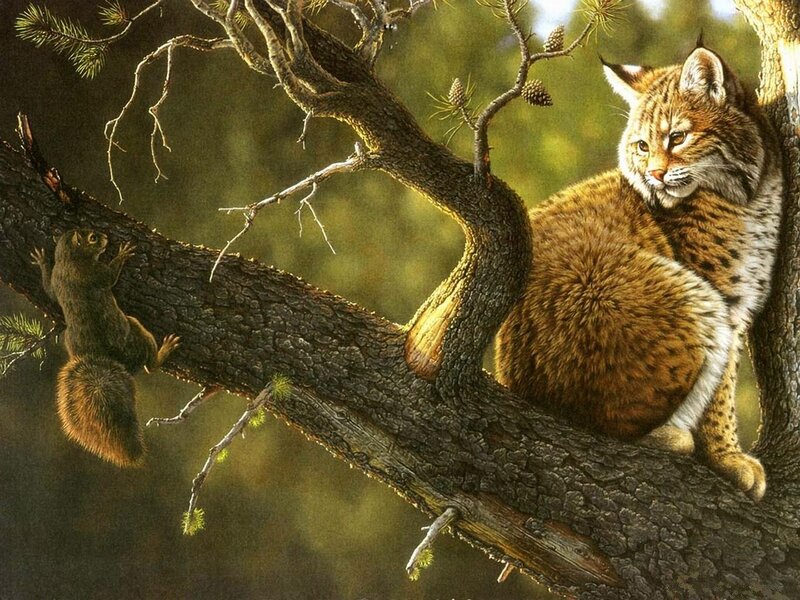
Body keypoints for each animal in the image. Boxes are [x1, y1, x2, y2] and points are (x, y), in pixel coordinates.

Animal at [31, 229, 180, 467]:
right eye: (92, 238)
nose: (105, 236)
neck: (70, 259)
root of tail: (101, 356)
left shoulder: (56, 279)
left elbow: (49, 291)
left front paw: (42, 261)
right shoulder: (96, 273)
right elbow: (110, 276)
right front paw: (123, 253)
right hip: (137, 330)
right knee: (150, 365)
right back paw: (164, 350)